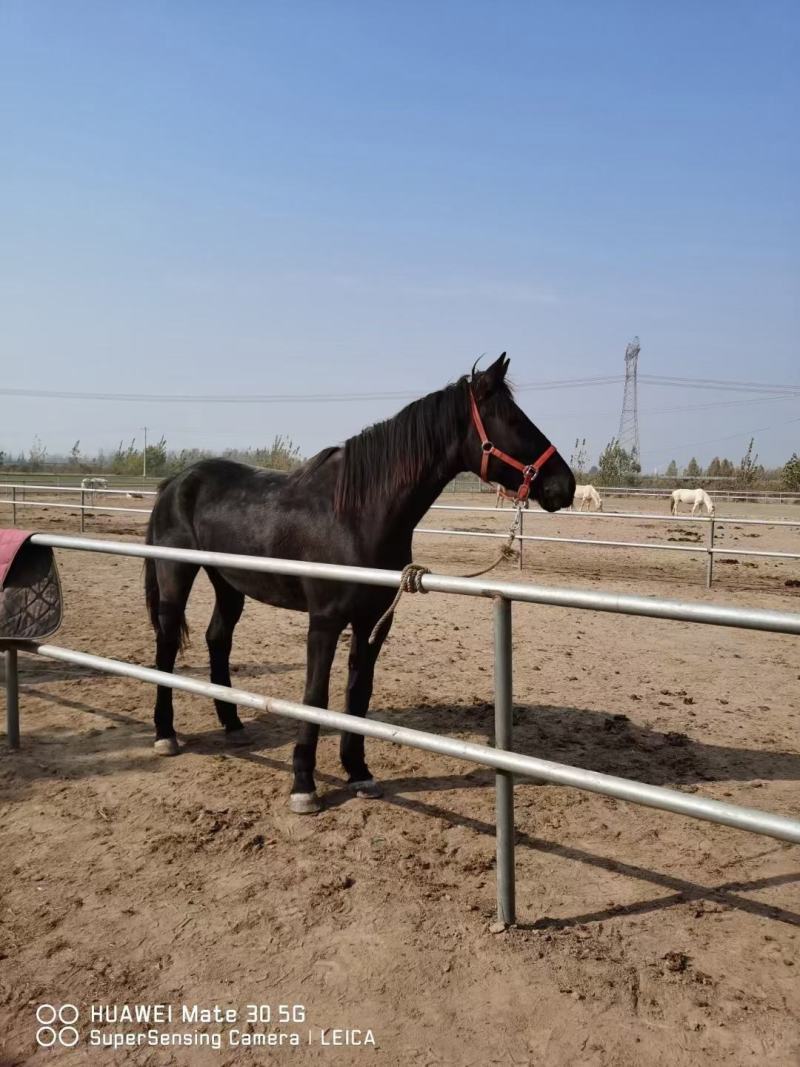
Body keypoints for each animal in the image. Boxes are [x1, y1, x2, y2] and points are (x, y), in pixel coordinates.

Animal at [143, 354, 575, 813]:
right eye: (512, 419)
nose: (563, 485)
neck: (354, 515)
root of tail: (176, 482)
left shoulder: (373, 621)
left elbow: (358, 693)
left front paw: (359, 772)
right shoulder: (325, 621)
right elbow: (315, 696)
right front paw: (303, 784)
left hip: (228, 583)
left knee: (218, 638)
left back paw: (234, 724)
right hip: (175, 576)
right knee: (167, 643)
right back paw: (165, 734)